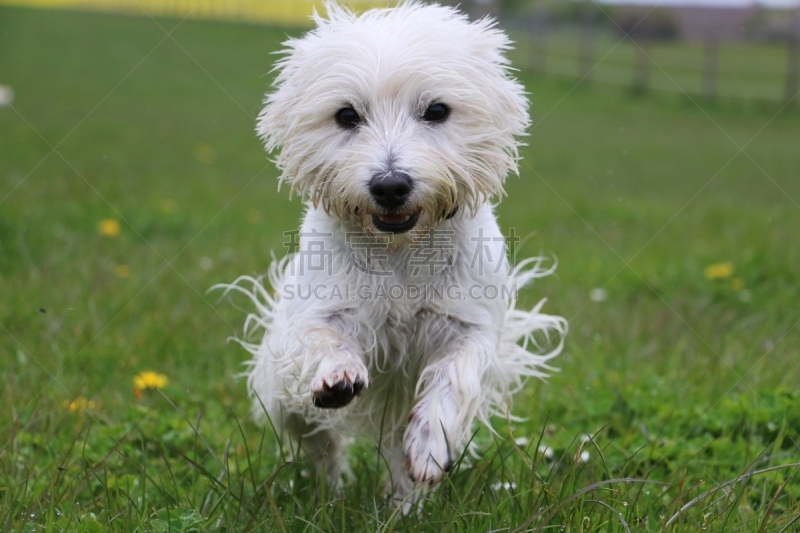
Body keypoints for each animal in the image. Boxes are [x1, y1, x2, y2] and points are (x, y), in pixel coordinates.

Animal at [222, 2, 564, 504]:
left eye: (436, 110)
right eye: (346, 115)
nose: (390, 185)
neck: (401, 251)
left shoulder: (470, 326)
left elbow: (453, 376)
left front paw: (430, 444)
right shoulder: (321, 311)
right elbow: (324, 338)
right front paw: (338, 375)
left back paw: (405, 503)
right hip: (280, 393)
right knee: (318, 441)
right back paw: (331, 493)